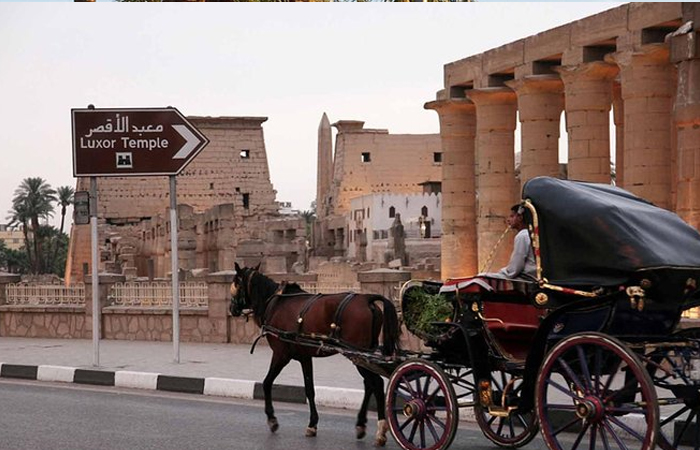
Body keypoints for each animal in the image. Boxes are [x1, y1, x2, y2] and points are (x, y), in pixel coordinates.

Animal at [231, 264, 400, 446]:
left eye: (236, 282)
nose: (231, 309)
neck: (276, 303)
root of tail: (366, 298)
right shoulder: (305, 357)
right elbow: (309, 389)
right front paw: (312, 424)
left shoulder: (281, 354)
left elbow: (267, 382)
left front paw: (272, 419)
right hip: (361, 356)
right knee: (369, 384)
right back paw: (361, 424)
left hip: (357, 353)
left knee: (376, 383)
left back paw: (380, 429)